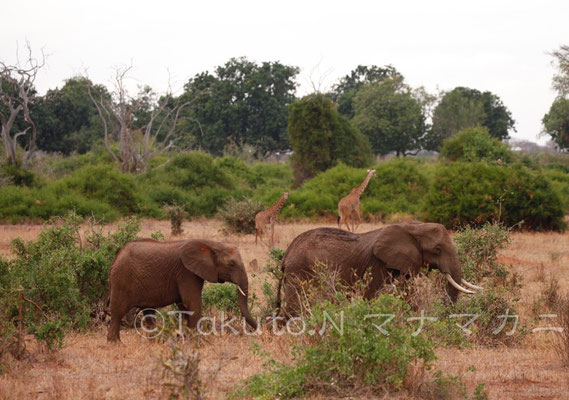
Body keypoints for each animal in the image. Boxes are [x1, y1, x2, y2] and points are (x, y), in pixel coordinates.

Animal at [107, 239, 258, 342]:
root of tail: (116, 257)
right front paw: (198, 341)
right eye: (231, 264)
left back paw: (153, 342)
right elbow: (192, 302)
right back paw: (115, 343)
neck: (210, 244)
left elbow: (184, 305)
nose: (256, 332)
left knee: (148, 313)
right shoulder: (186, 272)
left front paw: (185, 338)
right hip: (121, 280)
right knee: (117, 311)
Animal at [276, 223, 480, 318]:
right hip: (299, 269)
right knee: (294, 306)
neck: (412, 226)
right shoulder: (377, 264)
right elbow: (373, 296)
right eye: (437, 249)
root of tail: (287, 252)